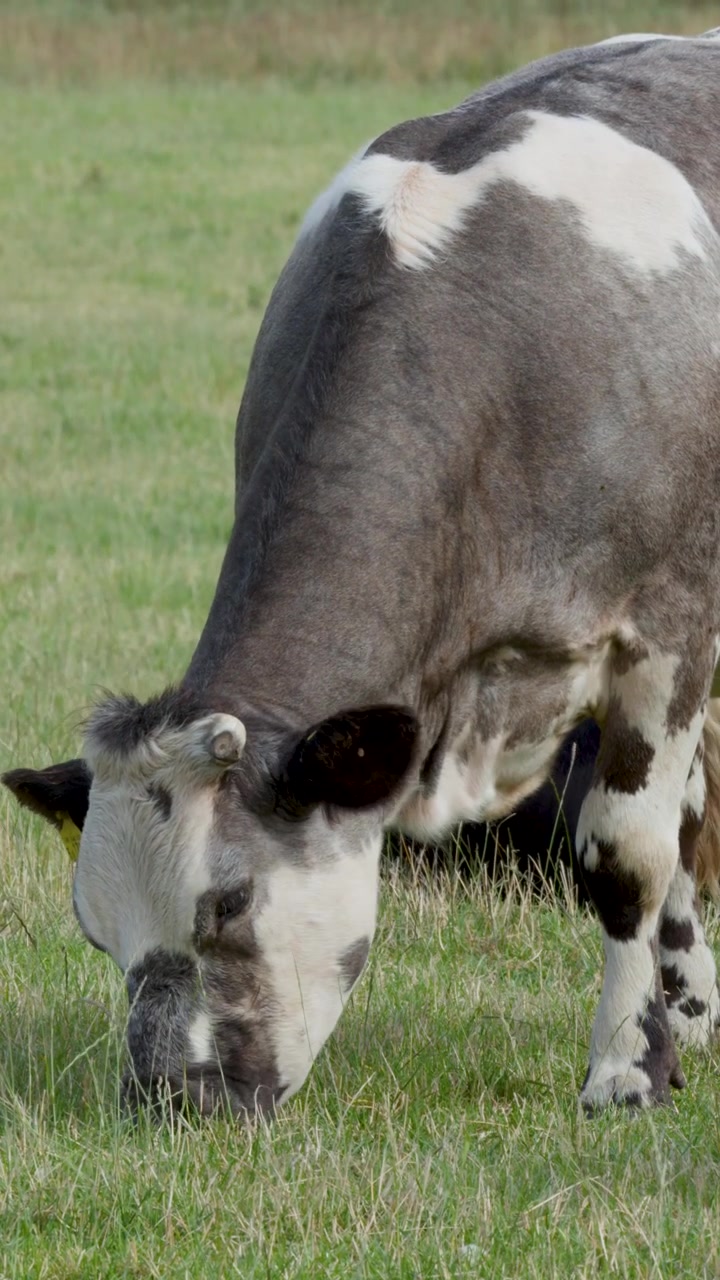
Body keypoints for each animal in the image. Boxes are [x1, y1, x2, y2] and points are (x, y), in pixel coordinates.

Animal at [4, 30, 720, 1117]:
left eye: (229, 903)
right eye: (96, 926)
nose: (170, 1096)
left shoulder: (668, 623)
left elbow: (632, 851)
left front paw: (626, 1071)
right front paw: (672, 1031)